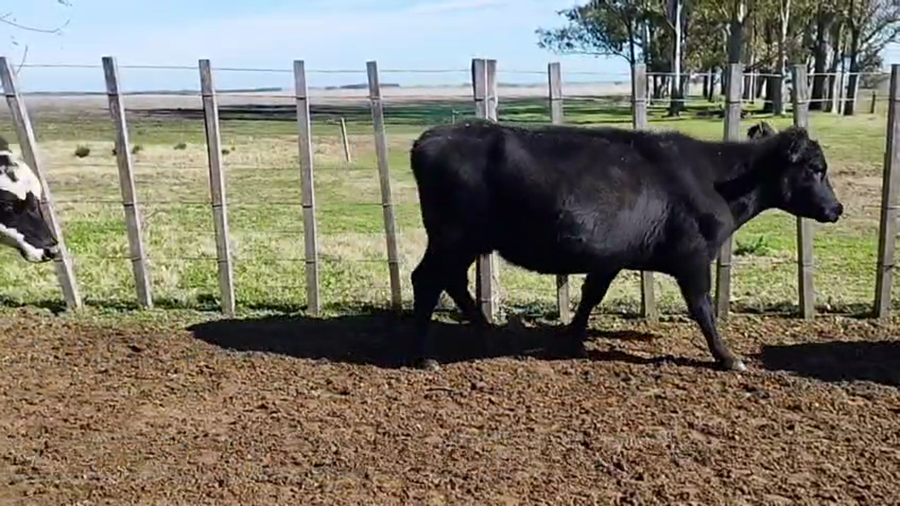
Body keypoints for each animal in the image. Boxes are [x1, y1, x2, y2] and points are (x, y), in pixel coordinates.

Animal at [407, 119, 843, 372]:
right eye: (815, 169)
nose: (836, 208)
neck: (715, 179)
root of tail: (430, 137)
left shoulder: (610, 256)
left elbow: (590, 295)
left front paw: (570, 336)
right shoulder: (693, 257)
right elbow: (702, 309)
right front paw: (728, 357)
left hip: (462, 242)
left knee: (452, 281)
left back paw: (487, 330)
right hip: (453, 237)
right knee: (426, 280)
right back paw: (422, 356)